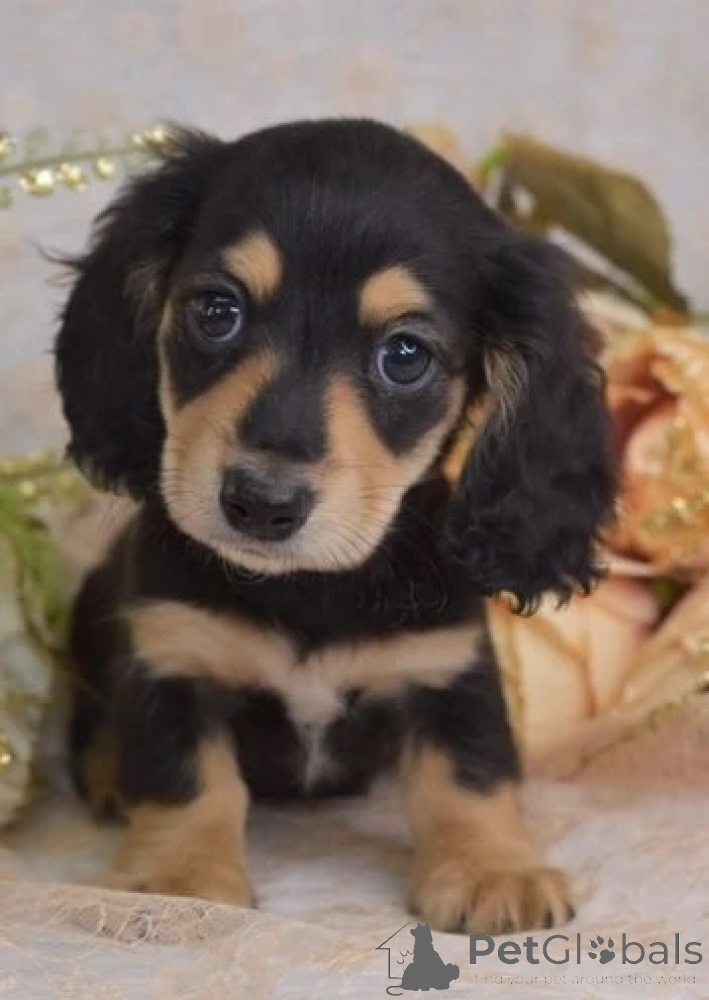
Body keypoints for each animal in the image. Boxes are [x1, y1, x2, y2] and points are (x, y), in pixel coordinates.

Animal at [54, 118, 615, 935]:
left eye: (405, 356)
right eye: (216, 310)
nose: (261, 502)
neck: (307, 589)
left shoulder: (448, 667)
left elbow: (470, 774)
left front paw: (490, 870)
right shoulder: (172, 655)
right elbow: (183, 775)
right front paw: (178, 878)